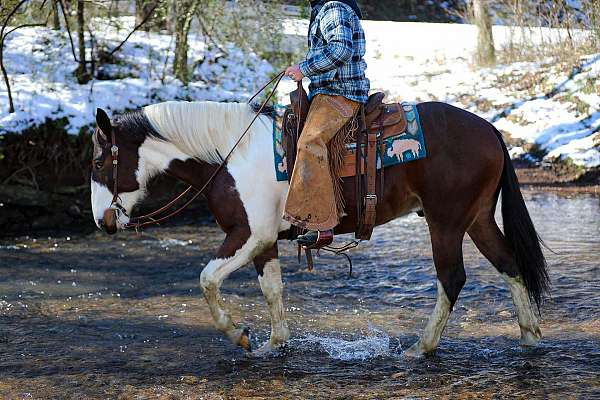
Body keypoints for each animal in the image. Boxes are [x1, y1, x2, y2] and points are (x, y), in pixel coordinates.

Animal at [90, 100, 548, 356]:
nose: (103, 222)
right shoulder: (265, 241)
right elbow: (272, 290)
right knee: (509, 264)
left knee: (451, 278)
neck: (230, 154)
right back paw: (529, 337)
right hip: (478, 219)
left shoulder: (247, 235)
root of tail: (490, 129)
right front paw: (274, 344)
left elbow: (207, 279)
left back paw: (420, 348)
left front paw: (239, 334)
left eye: (97, 162)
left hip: (446, 222)